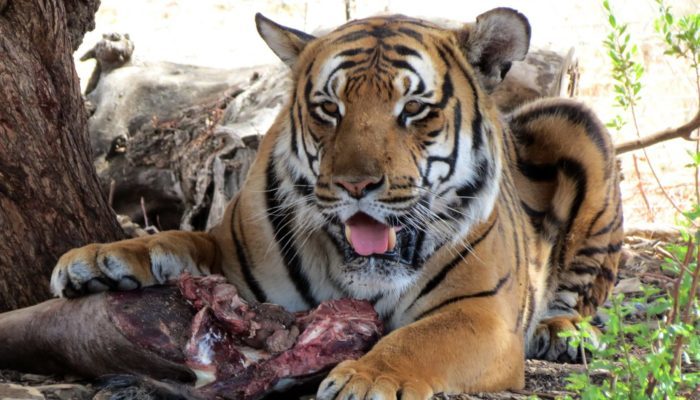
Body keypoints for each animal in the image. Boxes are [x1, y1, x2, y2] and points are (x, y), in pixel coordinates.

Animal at [50, 8, 623, 399]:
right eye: (329, 108)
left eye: (413, 109)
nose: (356, 185)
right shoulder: (231, 251)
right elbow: (183, 239)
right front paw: (100, 260)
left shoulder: (480, 313)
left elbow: (420, 339)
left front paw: (367, 378)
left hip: (575, 122)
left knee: (582, 298)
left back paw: (562, 333)